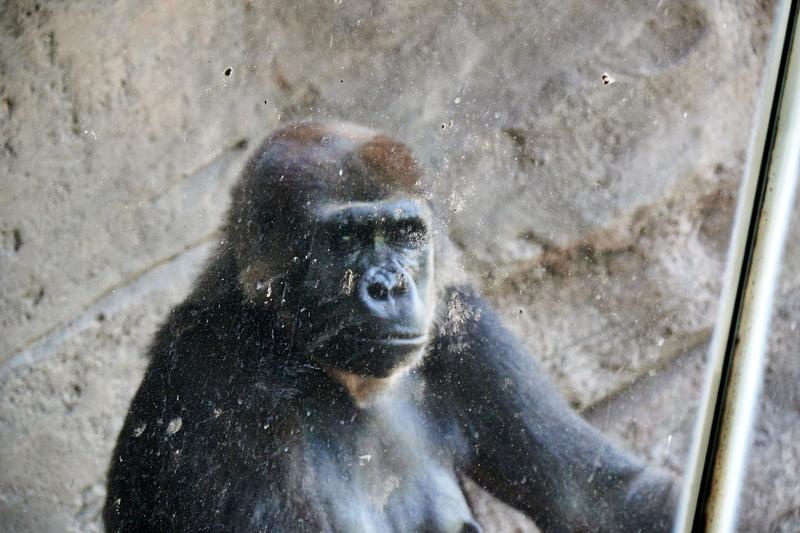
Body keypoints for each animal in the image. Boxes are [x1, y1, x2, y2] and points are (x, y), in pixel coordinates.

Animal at [106, 121, 680, 532]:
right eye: (344, 240)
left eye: (406, 233)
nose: (390, 286)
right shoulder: (213, 370)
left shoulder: (461, 323)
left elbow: (601, 498)